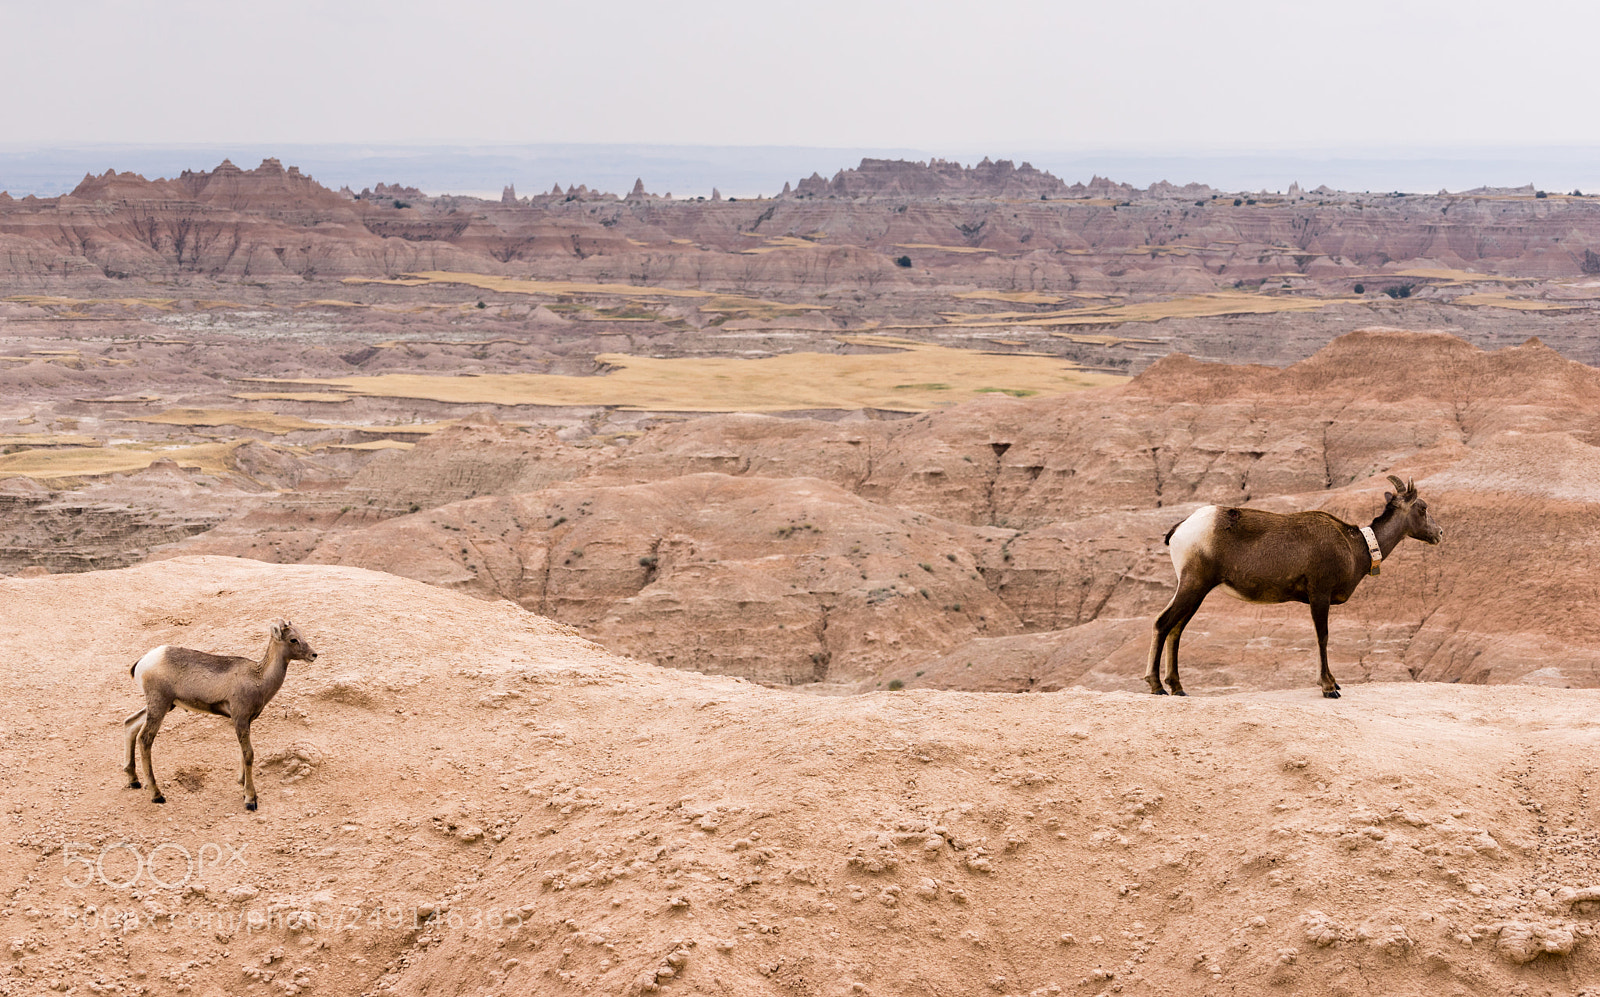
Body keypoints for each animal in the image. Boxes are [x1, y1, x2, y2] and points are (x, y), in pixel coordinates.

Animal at [123, 619, 319, 810]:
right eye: (293, 639)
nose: (313, 655)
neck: (258, 678)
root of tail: (142, 662)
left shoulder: (246, 722)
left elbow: (243, 752)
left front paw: (243, 786)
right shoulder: (240, 719)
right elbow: (248, 754)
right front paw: (250, 799)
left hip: (164, 706)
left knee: (130, 724)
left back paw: (134, 781)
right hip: (159, 705)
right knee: (145, 739)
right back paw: (157, 795)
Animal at [1147, 476, 1442, 699]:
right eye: (1422, 508)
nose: (1439, 533)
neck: (1355, 547)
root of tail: (1180, 529)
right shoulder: (1319, 594)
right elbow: (1322, 637)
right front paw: (1329, 687)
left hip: (1196, 591)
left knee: (1176, 629)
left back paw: (1178, 688)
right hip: (1194, 585)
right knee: (1163, 623)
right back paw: (1157, 687)